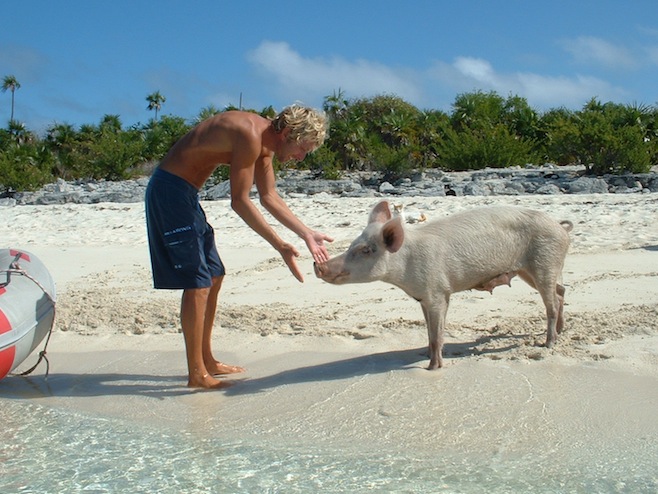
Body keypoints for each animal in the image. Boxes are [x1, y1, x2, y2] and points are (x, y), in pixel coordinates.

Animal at [314, 200, 573, 369]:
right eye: (352, 244)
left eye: (366, 250)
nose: (319, 265)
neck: (404, 268)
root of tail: (561, 227)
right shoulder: (423, 297)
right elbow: (430, 331)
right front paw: (424, 354)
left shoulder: (437, 291)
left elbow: (437, 333)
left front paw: (433, 368)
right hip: (530, 270)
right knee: (561, 292)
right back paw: (560, 331)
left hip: (544, 263)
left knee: (551, 303)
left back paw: (547, 344)